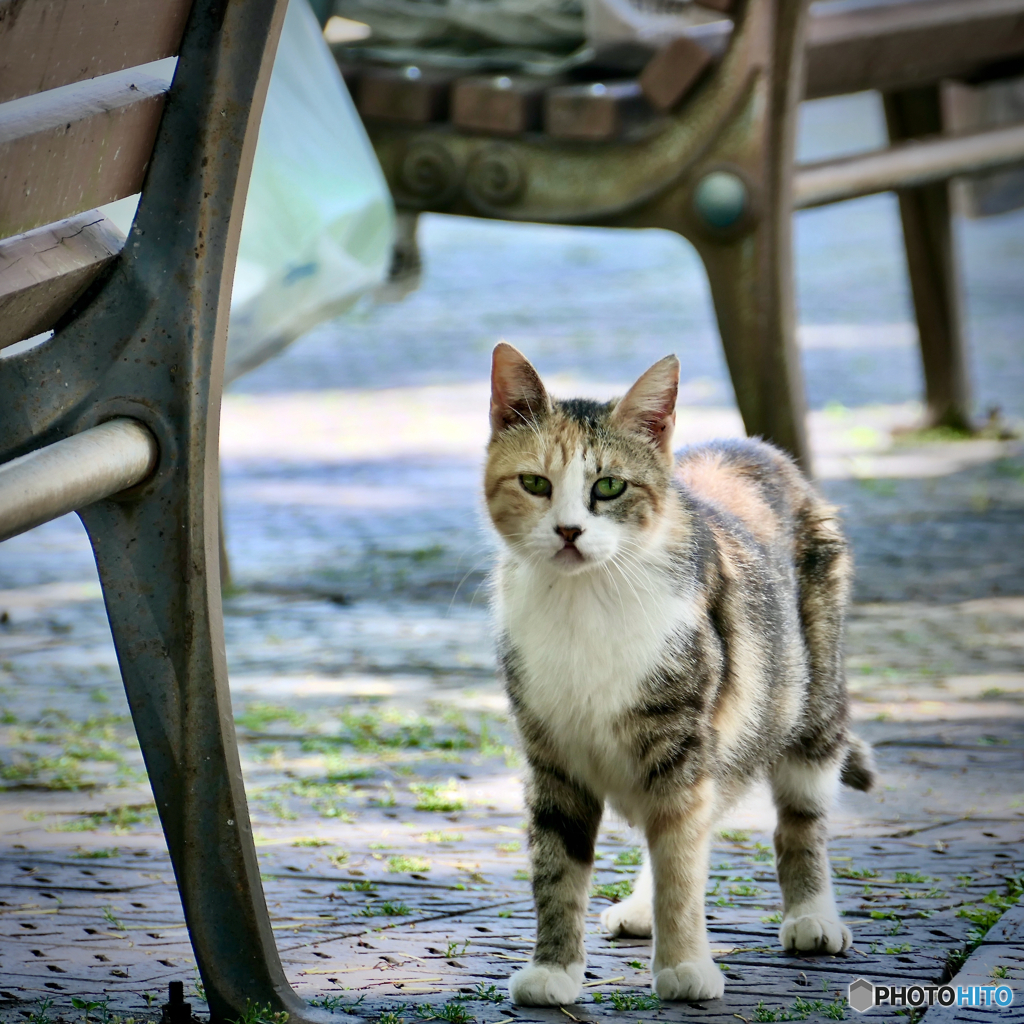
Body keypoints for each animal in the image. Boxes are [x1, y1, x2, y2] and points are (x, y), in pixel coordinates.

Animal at [483, 346, 876, 1007]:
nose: (568, 531)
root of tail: (753, 445)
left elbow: (681, 862)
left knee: (796, 814)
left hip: (807, 692)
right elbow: (558, 865)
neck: (585, 601)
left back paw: (812, 916)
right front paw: (554, 969)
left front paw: (686, 965)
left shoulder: (683, 733)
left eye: (609, 486)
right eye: (535, 483)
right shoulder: (549, 750)